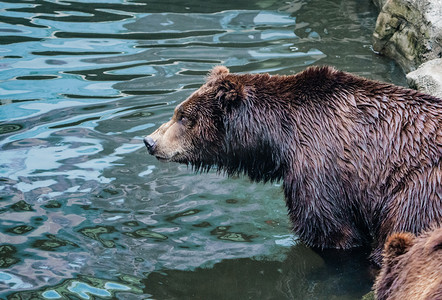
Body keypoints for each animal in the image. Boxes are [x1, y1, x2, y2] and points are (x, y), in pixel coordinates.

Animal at [145, 65, 442, 264]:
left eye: (183, 116)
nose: (149, 141)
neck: (278, 136)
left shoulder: (321, 163)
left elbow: (328, 226)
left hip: (420, 190)